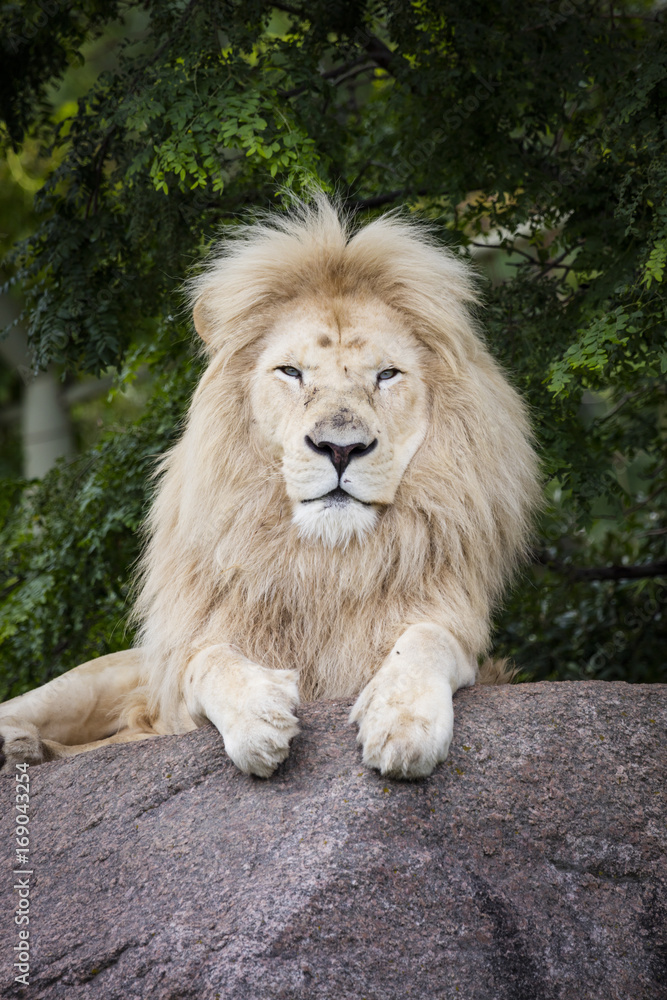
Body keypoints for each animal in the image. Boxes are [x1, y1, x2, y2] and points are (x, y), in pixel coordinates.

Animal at [0, 195, 540, 780]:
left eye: (387, 375)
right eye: (291, 372)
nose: (340, 448)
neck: (326, 561)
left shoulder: (459, 636)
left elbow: (425, 640)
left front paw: (403, 723)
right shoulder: (178, 691)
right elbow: (208, 661)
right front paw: (259, 718)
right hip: (93, 680)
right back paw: (21, 745)